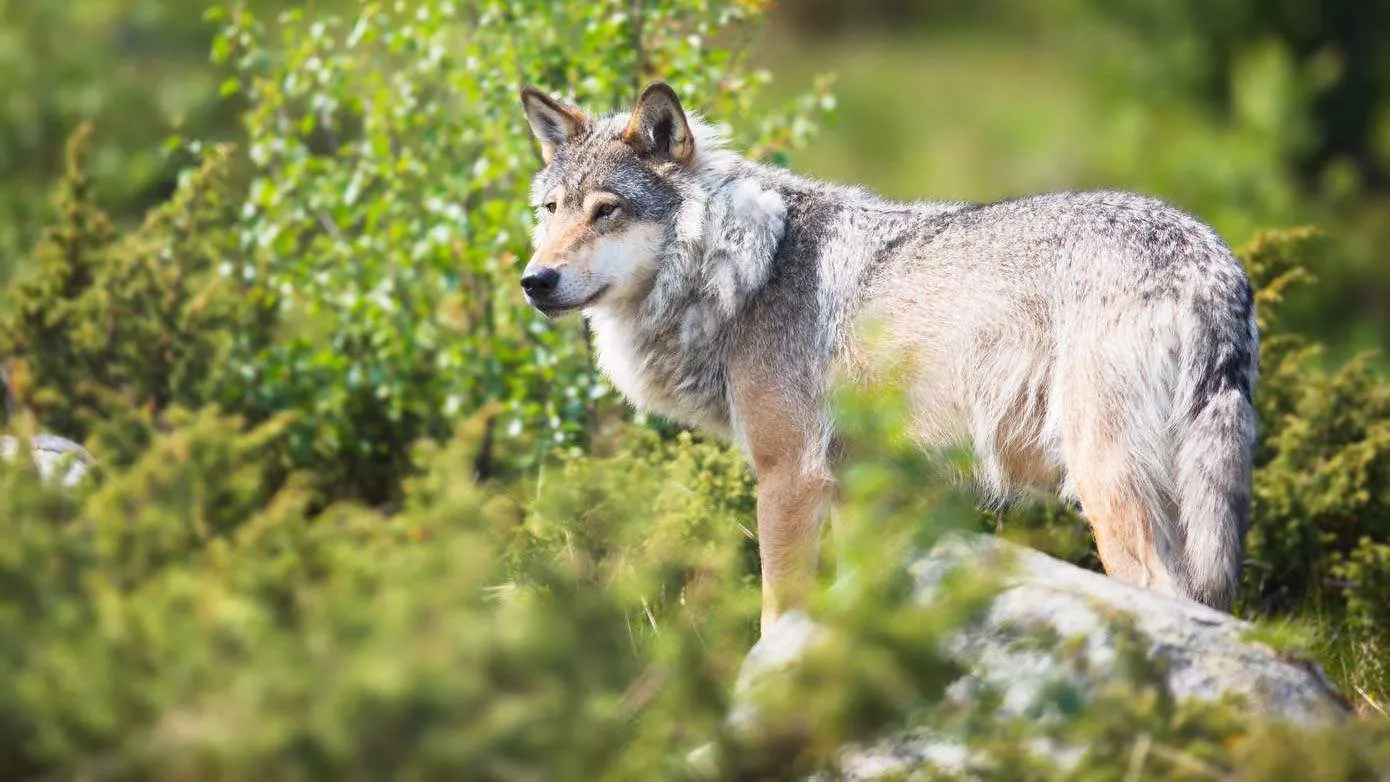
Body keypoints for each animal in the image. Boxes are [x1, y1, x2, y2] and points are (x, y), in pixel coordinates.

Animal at [518, 82, 1259, 633]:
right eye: (551, 210)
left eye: (606, 211)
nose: (534, 281)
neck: (743, 268)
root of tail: (1210, 264)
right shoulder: (859, 490)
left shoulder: (789, 477)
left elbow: (777, 612)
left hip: (1105, 486)